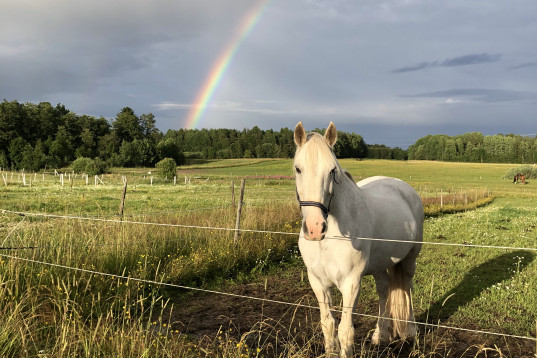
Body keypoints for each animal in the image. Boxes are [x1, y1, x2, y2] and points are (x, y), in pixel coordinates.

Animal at [294, 121, 422, 356]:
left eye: (332, 170)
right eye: (298, 168)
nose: (315, 228)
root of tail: (404, 187)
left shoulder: (351, 283)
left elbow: (345, 331)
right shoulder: (317, 282)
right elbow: (328, 324)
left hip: (410, 259)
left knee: (406, 287)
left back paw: (410, 331)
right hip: (380, 264)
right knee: (384, 289)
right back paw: (381, 335)